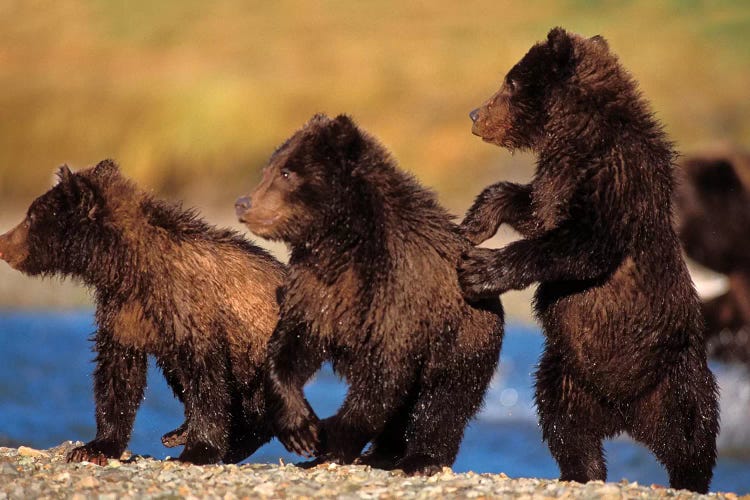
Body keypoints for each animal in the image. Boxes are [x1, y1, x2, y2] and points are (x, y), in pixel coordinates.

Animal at [0, 162, 286, 466]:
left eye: (31, 216)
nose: (3, 243)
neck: (130, 266)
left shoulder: (191, 311)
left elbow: (205, 379)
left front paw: (198, 449)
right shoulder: (124, 311)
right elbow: (118, 375)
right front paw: (95, 447)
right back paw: (179, 433)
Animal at [235, 114, 506, 476]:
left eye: (287, 173)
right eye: (269, 169)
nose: (243, 203)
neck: (341, 242)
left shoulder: (394, 296)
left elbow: (383, 378)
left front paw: (329, 441)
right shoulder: (316, 290)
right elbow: (291, 346)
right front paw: (301, 429)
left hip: (463, 340)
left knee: (443, 400)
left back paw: (422, 458)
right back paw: (382, 453)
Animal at [458, 27, 724, 492]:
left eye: (510, 82)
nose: (476, 113)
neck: (578, 135)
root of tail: (624, 415)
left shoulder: (617, 178)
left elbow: (582, 247)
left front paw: (481, 269)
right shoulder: (558, 179)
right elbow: (533, 208)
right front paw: (475, 223)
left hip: (677, 374)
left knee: (694, 432)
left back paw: (688, 478)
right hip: (567, 373)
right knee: (564, 424)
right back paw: (583, 471)